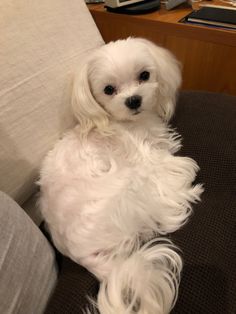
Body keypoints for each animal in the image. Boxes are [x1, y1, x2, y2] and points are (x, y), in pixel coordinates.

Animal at [39, 38, 203, 314]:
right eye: (108, 90)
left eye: (144, 75)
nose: (133, 100)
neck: (127, 123)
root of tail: (79, 254)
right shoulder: (144, 157)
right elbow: (164, 163)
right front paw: (183, 168)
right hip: (127, 186)